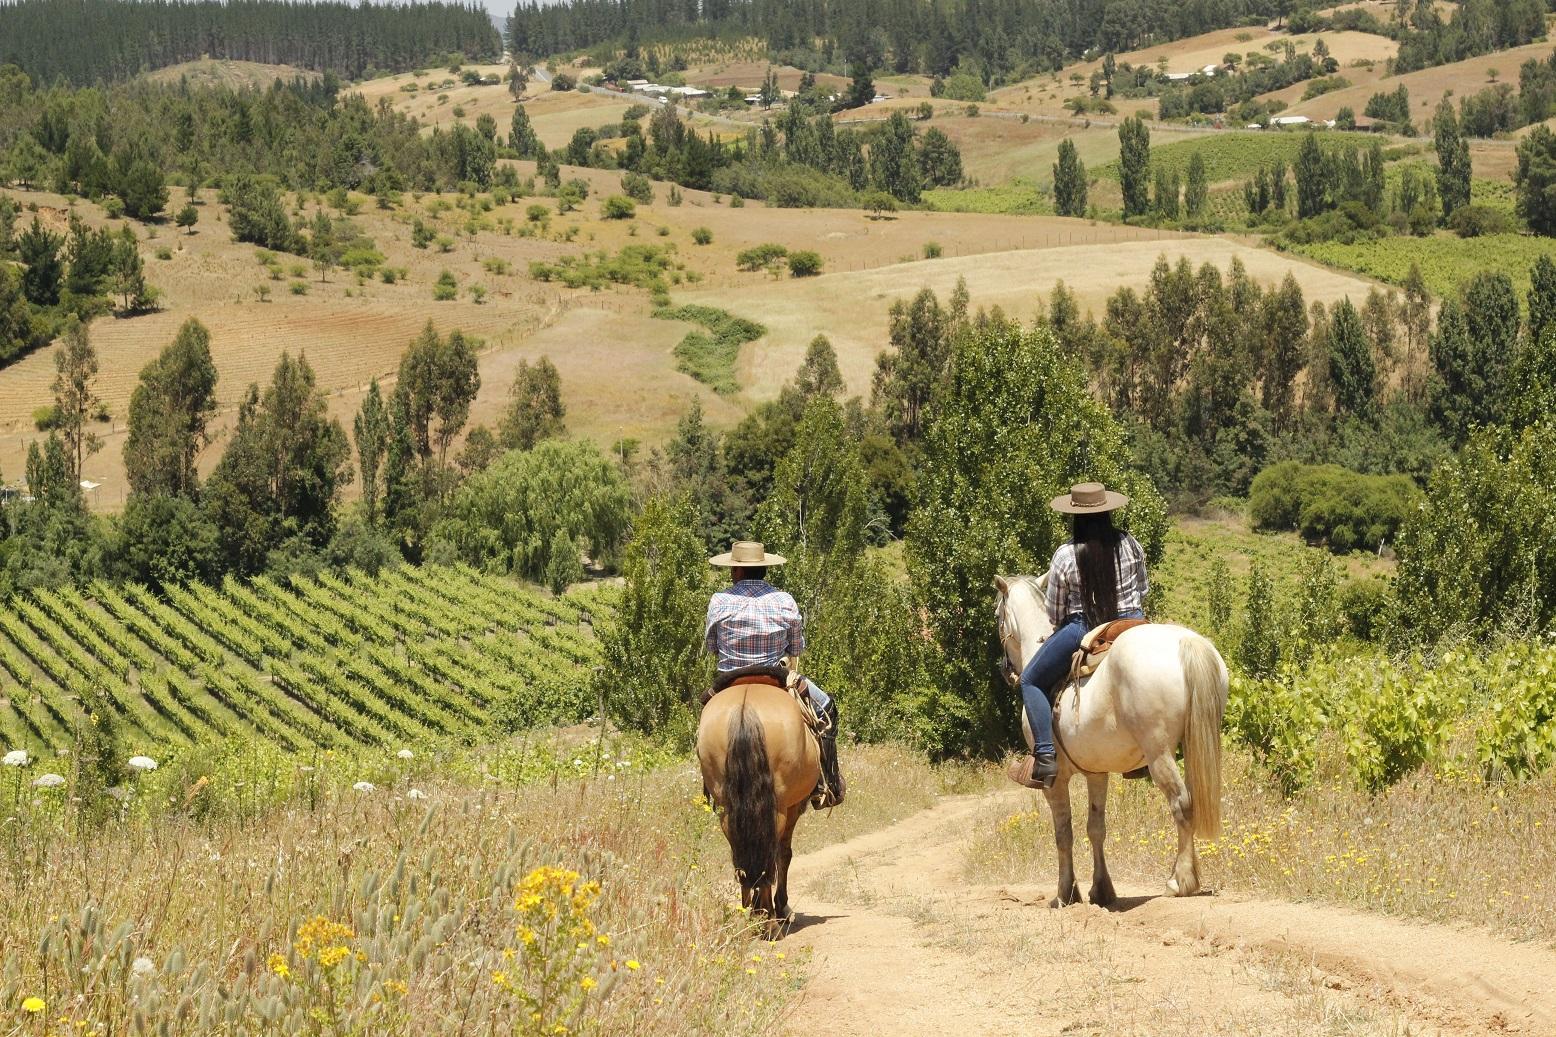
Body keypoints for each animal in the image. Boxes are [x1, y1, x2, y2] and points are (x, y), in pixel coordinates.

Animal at [693, 678, 815, 934]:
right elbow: (784, 853)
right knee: (769, 855)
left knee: (743, 855)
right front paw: (781, 907)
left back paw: (750, 913)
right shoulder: (793, 807)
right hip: (778, 807)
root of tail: (745, 708)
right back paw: (769, 921)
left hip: (728, 809)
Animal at [995, 572, 1226, 903]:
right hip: (1196, 745)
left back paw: (1179, 881)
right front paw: (1101, 889)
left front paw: (1066, 892)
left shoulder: (1055, 780)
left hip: (1159, 754)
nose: (1006, 670)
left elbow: (1063, 833)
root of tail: (1186, 641)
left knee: (1181, 803)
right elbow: (1096, 828)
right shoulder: (1097, 773)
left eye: (996, 615)